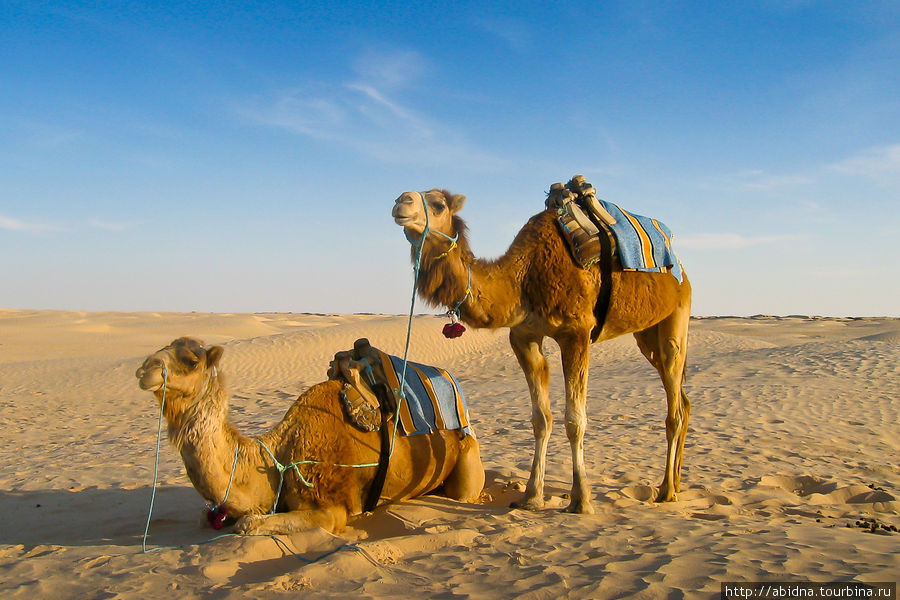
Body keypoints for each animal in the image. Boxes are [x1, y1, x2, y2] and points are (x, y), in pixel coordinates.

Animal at [134, 338, 486, 536]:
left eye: (192, 361)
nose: (144, 369)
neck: (278, 458)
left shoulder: (331, 506)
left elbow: (249, 524)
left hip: (467, 458)